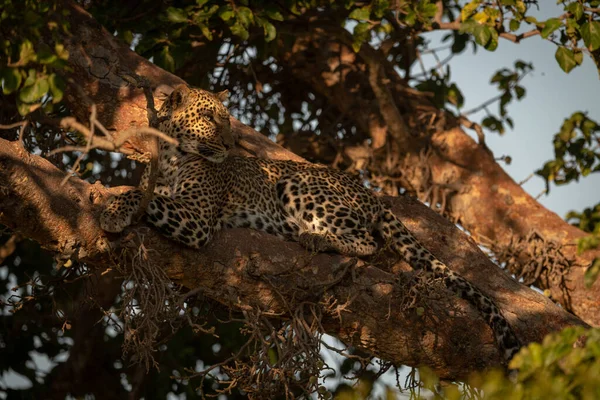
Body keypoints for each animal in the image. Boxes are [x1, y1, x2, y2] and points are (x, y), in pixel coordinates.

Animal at [101, 85, 524, 366]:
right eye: (208, 118)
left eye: (227, 119)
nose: (232, 142)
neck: (170, 156)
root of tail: (371, 195)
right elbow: (147, 193)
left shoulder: (198, 216)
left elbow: (144, 198)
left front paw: (111, 209)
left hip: (298, 184)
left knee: (368, 242)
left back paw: (315, 238)